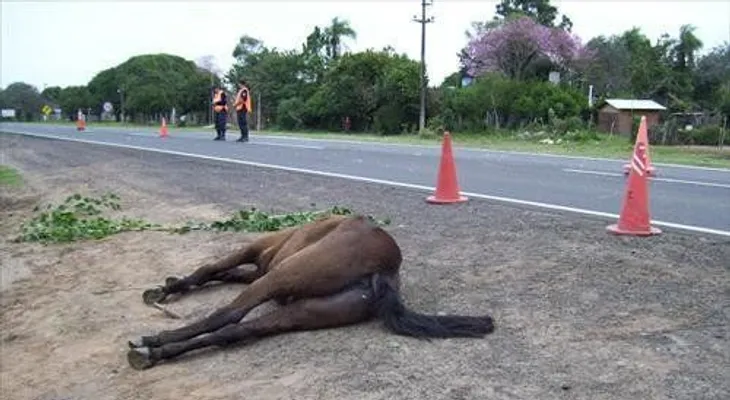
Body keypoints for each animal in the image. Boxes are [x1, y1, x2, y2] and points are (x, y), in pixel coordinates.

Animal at [126, 214, 495, 370]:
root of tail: (385, 271)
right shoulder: (259, 270)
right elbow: (222, 273)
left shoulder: (257, 254)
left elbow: (209, 270)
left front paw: (167, 289)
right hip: (301, 312)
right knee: (235, 331)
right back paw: (157, 353)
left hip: (280, 279)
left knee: (227, 316)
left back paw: (153, 342)